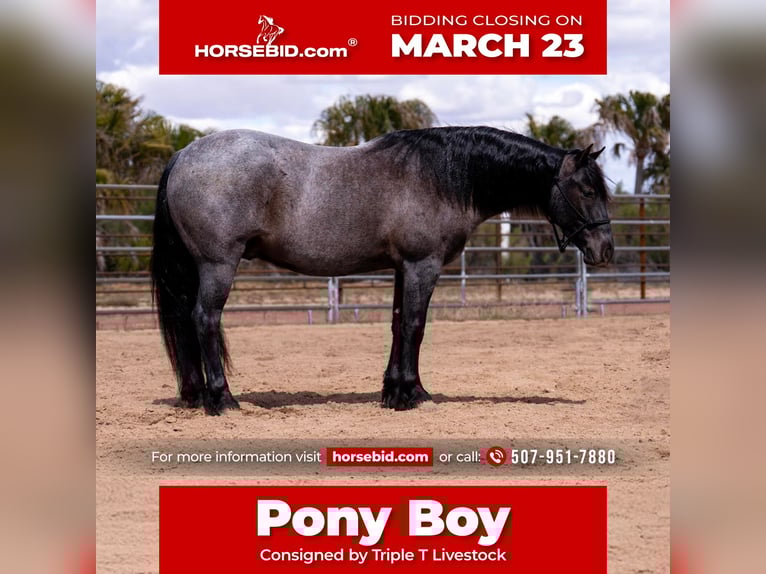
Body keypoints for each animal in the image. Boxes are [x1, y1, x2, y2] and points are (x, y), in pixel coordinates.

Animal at [151, 126, 613, 415]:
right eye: (588, 190)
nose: (605, 250)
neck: (440, 177)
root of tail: (183, 154)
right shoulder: (422, 265)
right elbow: (414, 326)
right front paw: (412, 394)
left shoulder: (401, 268)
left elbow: (396, 324)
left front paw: (396, 390)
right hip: (218, 265)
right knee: (204, 319)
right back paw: (222, 399)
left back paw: (196, 395)